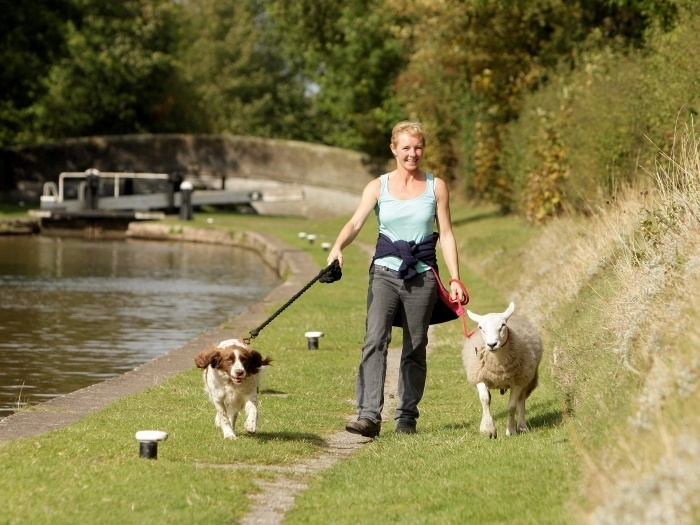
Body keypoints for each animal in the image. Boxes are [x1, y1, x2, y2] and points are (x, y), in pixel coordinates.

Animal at [462, 300, 544, 436]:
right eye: (481, 327)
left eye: (503, 325)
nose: (492, 344)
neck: (498, 363)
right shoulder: (479, 377)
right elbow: (485, 400)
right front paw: (488, 428)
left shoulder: (518, 382)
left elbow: (512, 406)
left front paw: (510, 430)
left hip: (528, 378)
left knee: (521, 400)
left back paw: (522, 426)